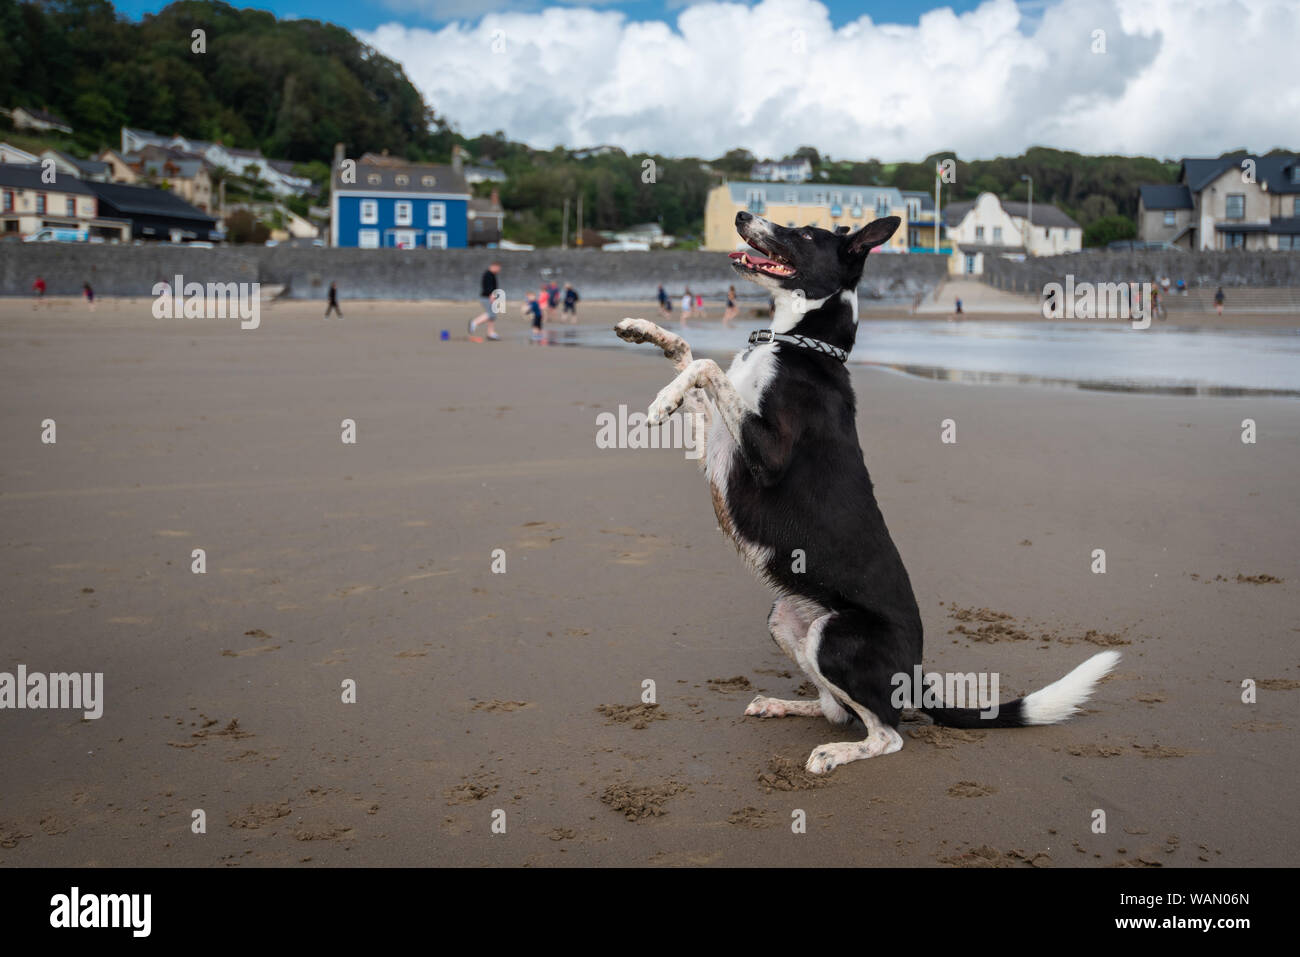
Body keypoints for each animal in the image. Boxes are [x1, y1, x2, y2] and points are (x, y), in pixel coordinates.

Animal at [616, 213, 1118, 774]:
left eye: (803, 234)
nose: (744, 216)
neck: (797, 345)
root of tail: (917, 677)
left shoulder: (763, 454)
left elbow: (705, 366)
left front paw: (663, 399)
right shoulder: (720, 449)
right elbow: (689, 354)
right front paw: (647, 334)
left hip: (835, 637)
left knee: (887, 732)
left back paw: (836, 753)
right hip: (786, 618)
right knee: (837, 708)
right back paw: (783, 705)